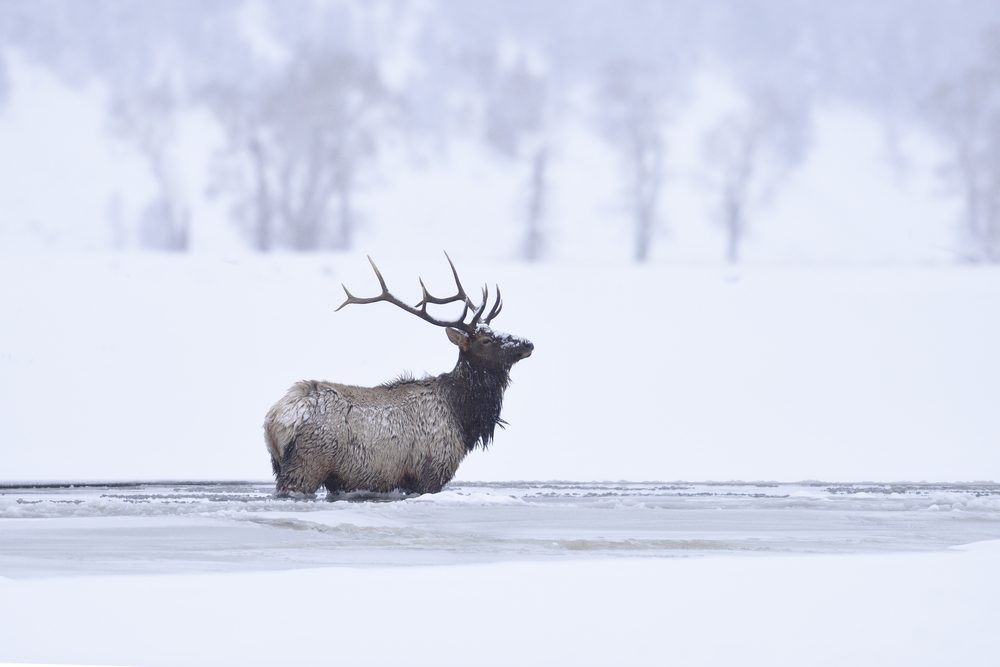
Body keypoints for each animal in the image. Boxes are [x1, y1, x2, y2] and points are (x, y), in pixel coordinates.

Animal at [263, 254, 534, 497]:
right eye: (486, 340)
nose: (528, 343)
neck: (463, 418)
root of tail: (274, 421)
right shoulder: (430, 471)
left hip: (282, 465)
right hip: (307, 463)